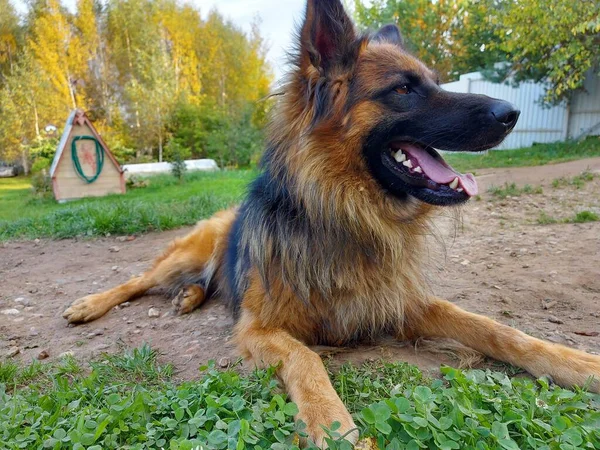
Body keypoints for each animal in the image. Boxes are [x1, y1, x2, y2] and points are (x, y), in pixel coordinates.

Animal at [63, 0, 596, 442]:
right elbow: (305, 358)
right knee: (139, 279)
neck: (345, 215)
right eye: (403, 89)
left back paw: (190, 297)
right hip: (188, 254)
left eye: (435, 82)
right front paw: (335, 426)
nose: (512, 113)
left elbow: (496, 329)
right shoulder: (260, 329)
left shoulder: (400, 301)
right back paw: (93, 303)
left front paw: (577, 362)